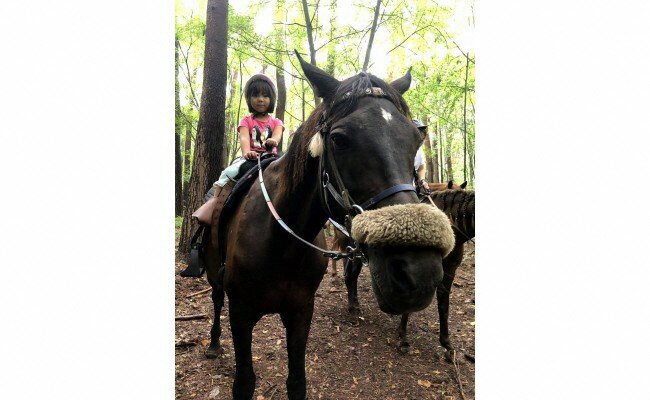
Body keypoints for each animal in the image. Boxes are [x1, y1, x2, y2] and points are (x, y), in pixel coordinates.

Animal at [202, 54, 450, 400]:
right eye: (339, 139)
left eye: (416, 140)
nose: (419, 271)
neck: (282, 244)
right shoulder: (241, 314)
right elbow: (244, 384)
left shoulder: (301, 311)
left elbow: (297, 383)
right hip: (214, 272)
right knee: (214, 301)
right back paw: (212, 343)